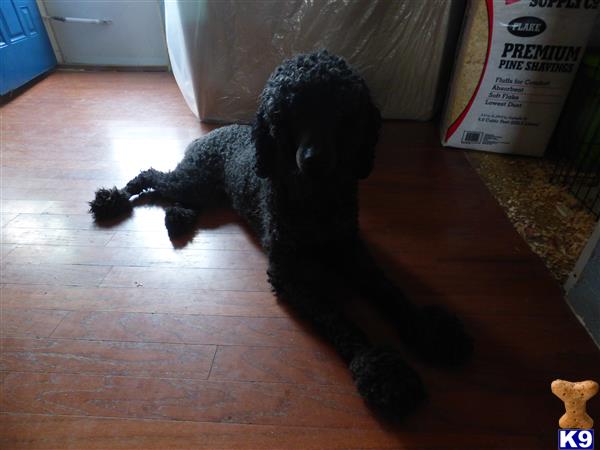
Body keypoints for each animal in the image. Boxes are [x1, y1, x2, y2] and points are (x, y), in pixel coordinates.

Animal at [89, 50, 474, 418]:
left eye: (341, 111)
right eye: (287, 114)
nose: (314, 160)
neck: (316, 197)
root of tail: (214, 132)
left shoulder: (350, 248)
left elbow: (387, 289)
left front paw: (427, 328)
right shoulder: (289, 273)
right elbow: (338, 319)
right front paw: (383, 372)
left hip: (207, 190)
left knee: (177, 196)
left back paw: (178, 217)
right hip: (194, 179)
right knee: (150, 176)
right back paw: (113, 200)